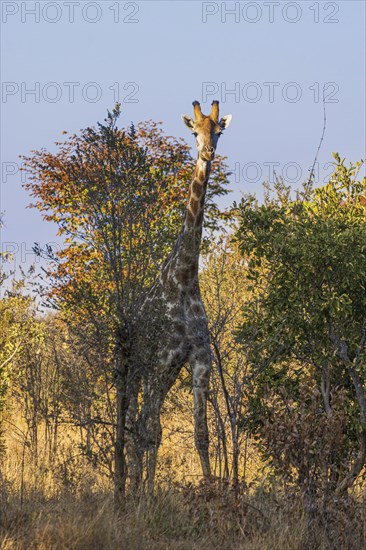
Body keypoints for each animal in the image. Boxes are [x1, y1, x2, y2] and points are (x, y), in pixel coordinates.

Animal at [128, 99, 232, 492]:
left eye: (218, 131)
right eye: (194, 132)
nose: (207, 153)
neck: (185, 276)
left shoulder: (200, 360)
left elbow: (202, 433)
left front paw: (211, 491)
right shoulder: (161, 359)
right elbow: (151, 431)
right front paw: (148, 494)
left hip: (165, 373)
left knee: (143, 423)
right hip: (137, 371)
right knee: (138, 425)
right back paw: (132, 488)